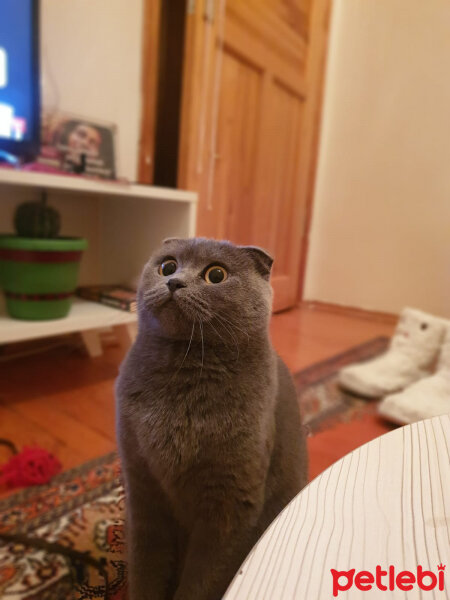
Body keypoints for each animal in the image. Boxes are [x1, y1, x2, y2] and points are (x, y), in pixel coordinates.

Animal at [115, 239, 310, 600]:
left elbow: (203, 579)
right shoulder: (141, 484)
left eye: (215, 275)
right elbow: (145, 565)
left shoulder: (230, 503)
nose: (174, 282)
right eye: (167, 266)